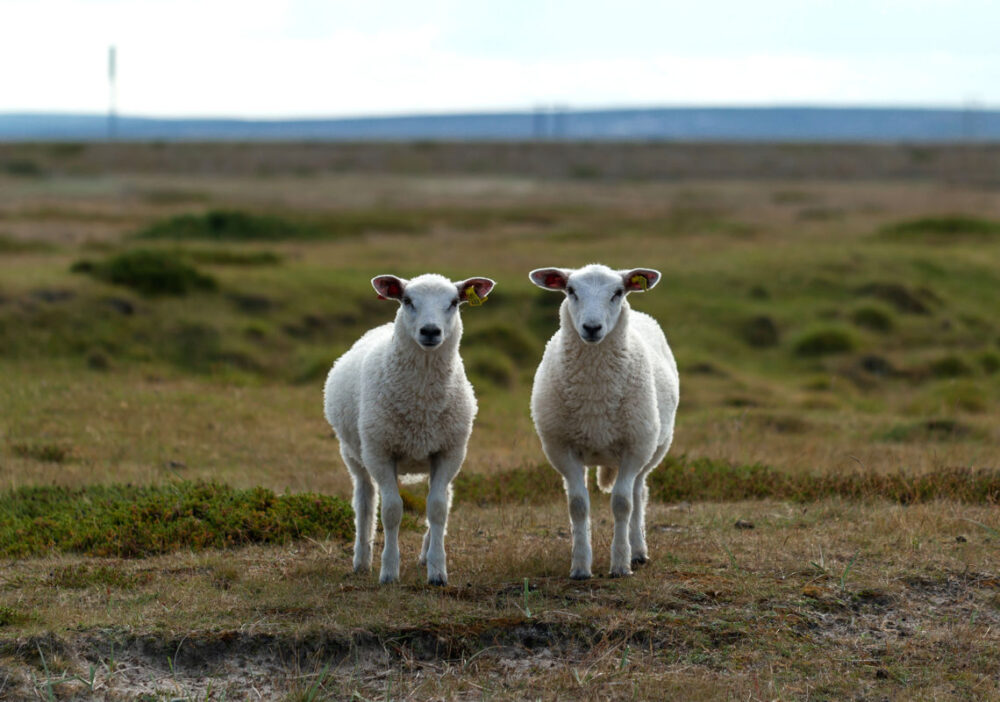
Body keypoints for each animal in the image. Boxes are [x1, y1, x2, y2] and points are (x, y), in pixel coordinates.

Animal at [324, 272, 496, 584]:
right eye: (407, 300)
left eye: (454, 302)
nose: (430, 331)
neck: (421, 402)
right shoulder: (380, 453)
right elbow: (392, 511)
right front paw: (389, 571)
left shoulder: (449, 452)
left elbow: (437, 509)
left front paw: (437, 570)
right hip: (354, 454)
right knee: (365, 501)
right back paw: (362, 559)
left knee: (444, 498)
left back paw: (425, 554)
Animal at [528, 264, 676, 576]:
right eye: (571, 290)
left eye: (618, 292)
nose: (592, 328)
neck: (595, 393)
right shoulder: (562, 449)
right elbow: (578, 505)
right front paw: (580, 566)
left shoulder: (634, 448)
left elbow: (622, 504)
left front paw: (620, 563)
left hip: (652, 448)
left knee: (638, 494)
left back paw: (638, 550)